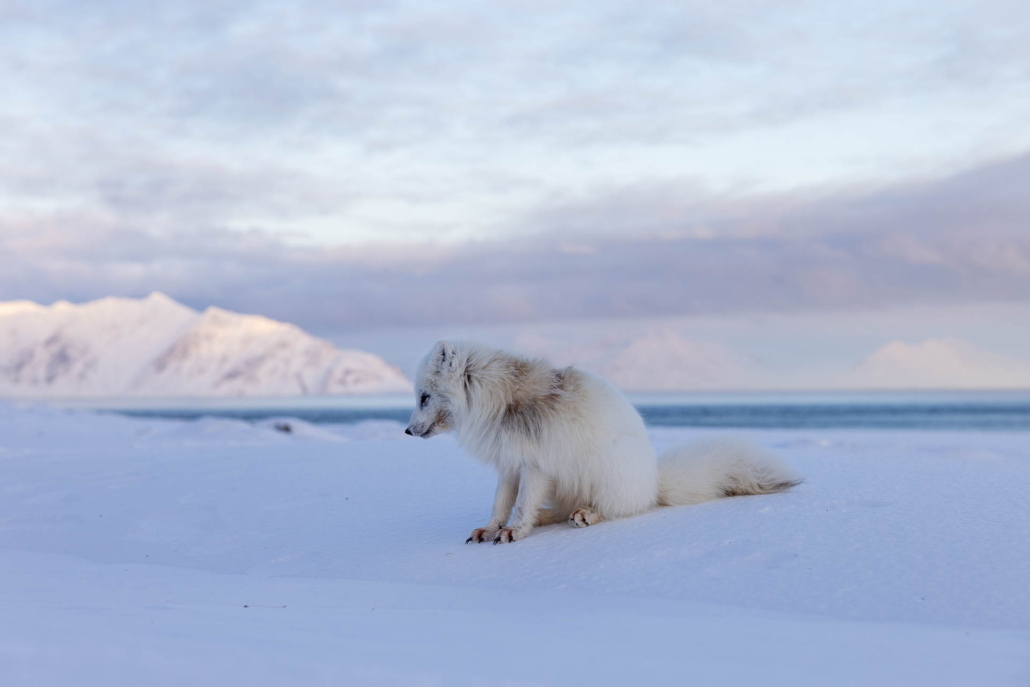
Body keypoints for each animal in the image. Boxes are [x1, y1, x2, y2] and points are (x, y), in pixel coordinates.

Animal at [405, 341, 799, 543]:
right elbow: (501, 504)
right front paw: (491, 529)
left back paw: (587, 515)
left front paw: (514, 531)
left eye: (424, 397)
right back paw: (549, 518)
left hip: (606, 476)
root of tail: (653, 482)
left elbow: (520, 506)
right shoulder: (509, 465)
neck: (498, 401)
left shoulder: (534, 466)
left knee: (617, 510)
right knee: (561, 509)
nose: (407, 431)